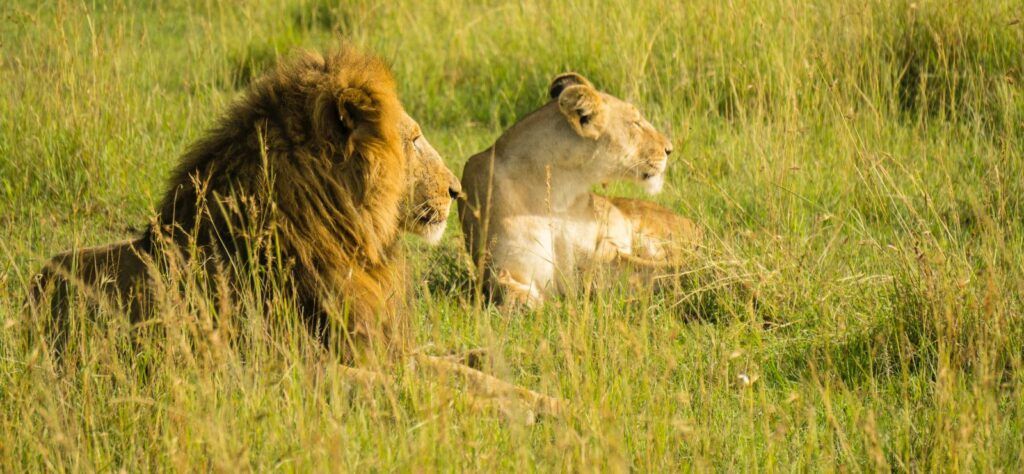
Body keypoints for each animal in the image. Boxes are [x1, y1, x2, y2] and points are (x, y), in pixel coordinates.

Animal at [458, 73, 702, 306]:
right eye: (635, 123)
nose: (669, 149)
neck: (557, 193)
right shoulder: (503, 268)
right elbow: (515, 298)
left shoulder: (600, 257)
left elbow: (668, 270)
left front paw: (703, 273)